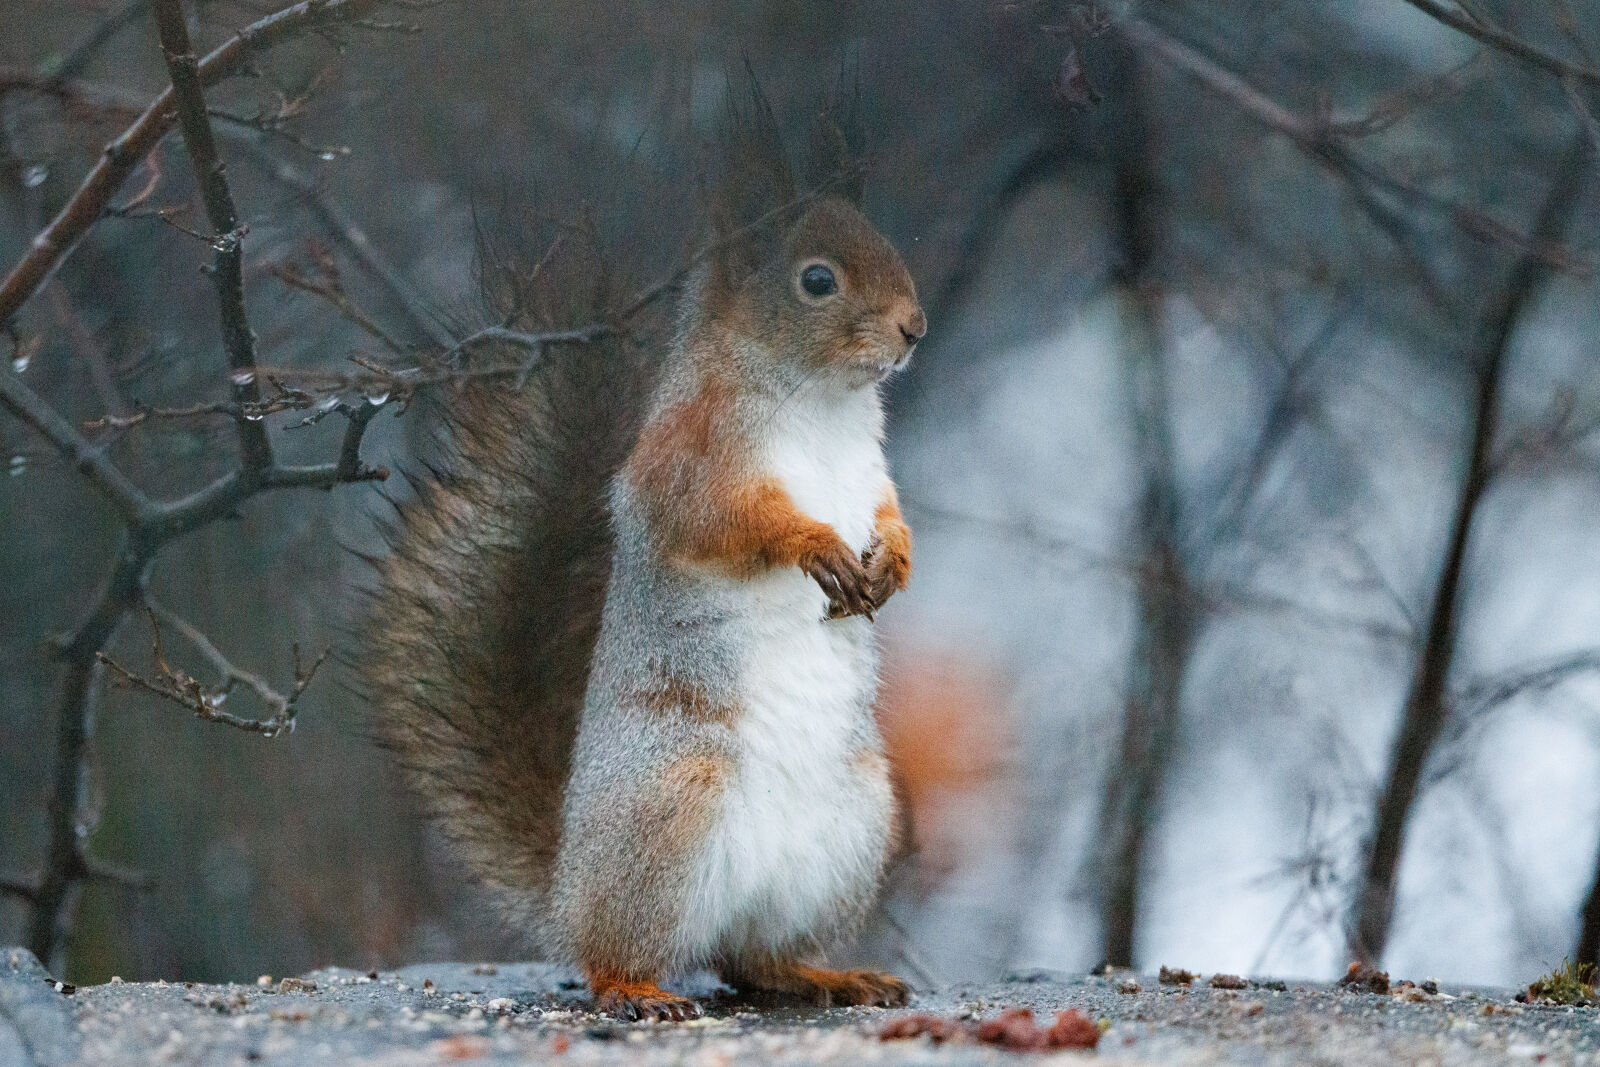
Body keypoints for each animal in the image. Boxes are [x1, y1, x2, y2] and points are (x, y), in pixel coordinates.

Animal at [366, 87, 928, 1023]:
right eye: (817, 279)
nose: (915, 328)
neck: (821, 401)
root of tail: (565, 888)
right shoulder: (688, 457)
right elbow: (719, 519)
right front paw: (813, 541)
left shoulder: (871, 470)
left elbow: (891, 515)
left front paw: (894, 564)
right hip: (672, 804)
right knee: (618, 952)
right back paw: (635, 986)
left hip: (854, 821)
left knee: (753, 957)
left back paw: (826, 973)